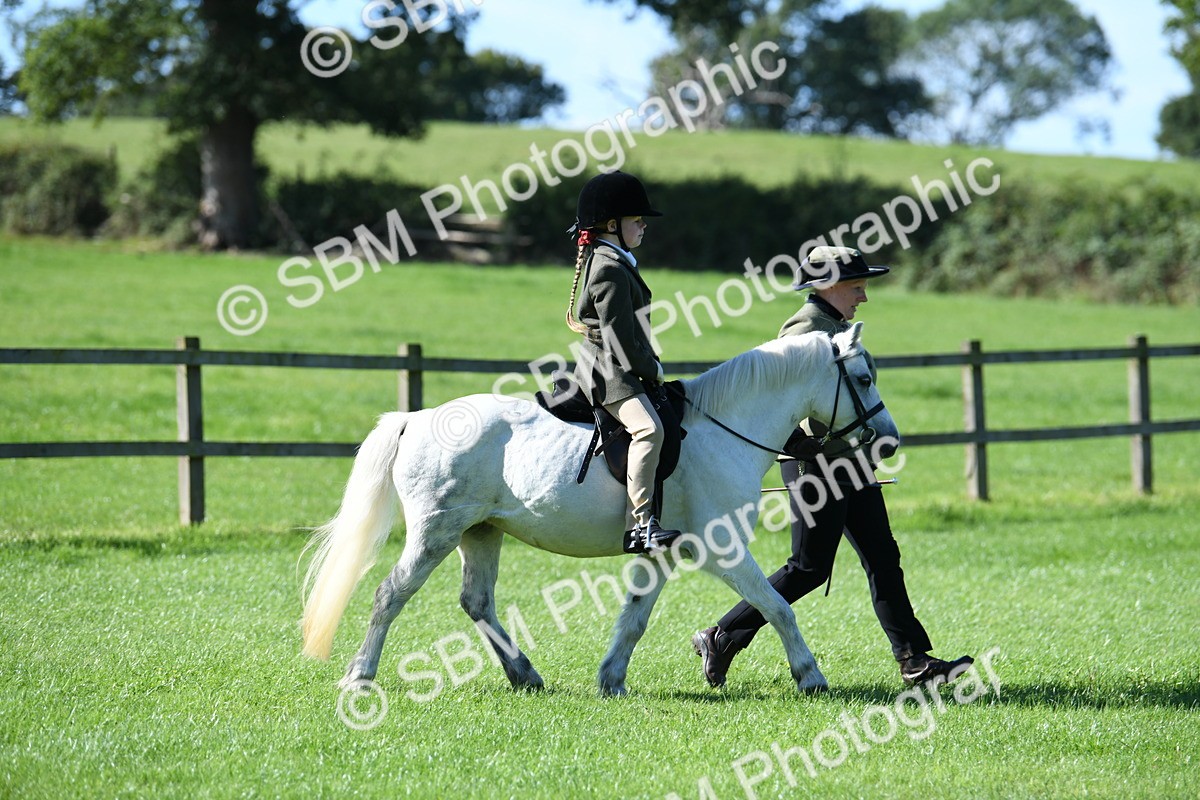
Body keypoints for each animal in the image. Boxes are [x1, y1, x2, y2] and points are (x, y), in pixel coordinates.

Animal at [300, 321, 899, 697]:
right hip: (436, 533)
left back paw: (524, 674)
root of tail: (418, 418)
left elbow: (634, 618)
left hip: (481, 531)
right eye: (864, 378)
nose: (889, 441)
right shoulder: (723, 549)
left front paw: (611, 678)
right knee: (390, 594)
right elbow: (778, 607)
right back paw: (359, 675)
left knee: (476, 602)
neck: (724, 428)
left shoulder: (662, 553)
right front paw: (810, 676)